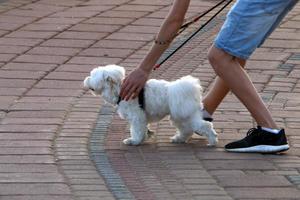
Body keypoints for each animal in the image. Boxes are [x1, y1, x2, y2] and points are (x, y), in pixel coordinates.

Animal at [83, 65, 217, 146]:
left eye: (92, 75)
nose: (86, 79)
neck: (120, 90)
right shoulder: (142, 117)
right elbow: (143, 129)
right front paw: (143, 138)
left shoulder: (137, 116)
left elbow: (136, 130)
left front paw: (134, 141)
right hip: (179, 116)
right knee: (187, 129)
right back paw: (179, 139)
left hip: (186, 115)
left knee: (205, 126)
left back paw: (212, 141)